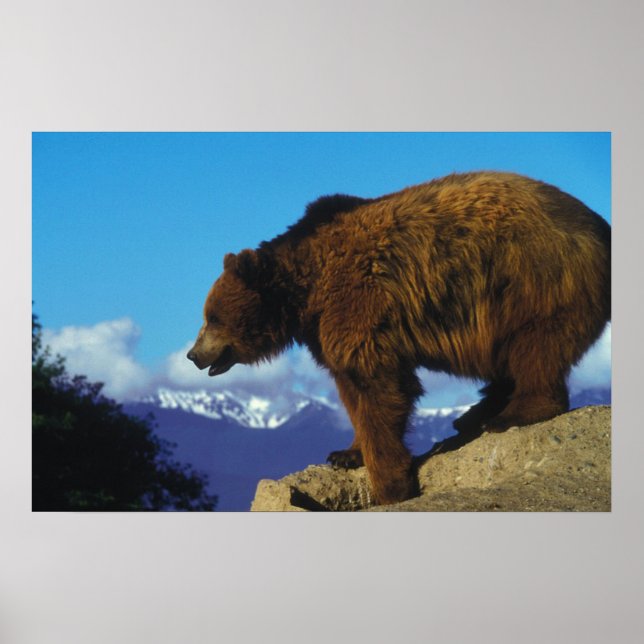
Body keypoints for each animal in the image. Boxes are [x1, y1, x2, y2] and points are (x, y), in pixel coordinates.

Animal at [187, 171, 611, 506]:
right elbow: (352, 391)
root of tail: (600, 226)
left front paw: (391, 484)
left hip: (532, 279)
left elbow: (379, 387)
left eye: (212, 317)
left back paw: (511, 414)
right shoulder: (328, 329)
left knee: (535, 345)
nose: (193, 354)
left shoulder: (358, 303)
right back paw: (473, 415)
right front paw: (346, 454)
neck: (307, 292)